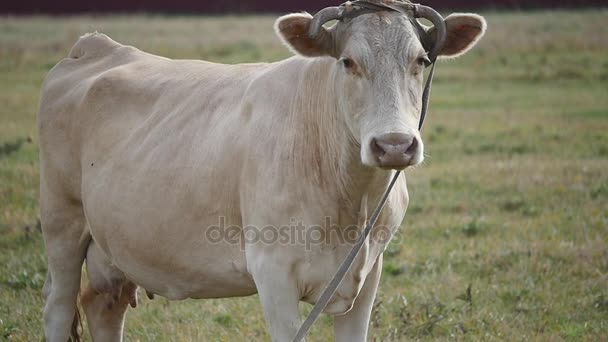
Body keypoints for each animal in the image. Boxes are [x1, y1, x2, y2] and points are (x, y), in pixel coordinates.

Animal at [38, 1, 484, 340]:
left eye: (421, 60)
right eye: (348, 61)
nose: (394, 145)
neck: (350, 203)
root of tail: (96, 45)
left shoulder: (367, 272)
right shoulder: (273, 272)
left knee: (103, 305)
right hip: (62, 224)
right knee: (58, 308)